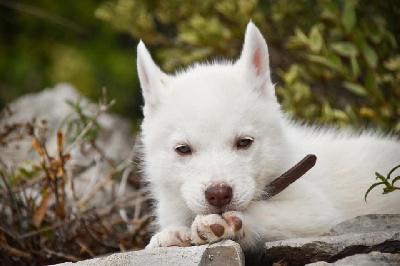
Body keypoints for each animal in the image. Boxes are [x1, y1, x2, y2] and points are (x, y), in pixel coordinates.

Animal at [138, 21, 400, 252]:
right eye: (183, 149)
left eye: (244, 142)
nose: (219, 195)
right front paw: (172, 234)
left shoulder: (319, 212)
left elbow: (265, 212)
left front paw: (226, 224)